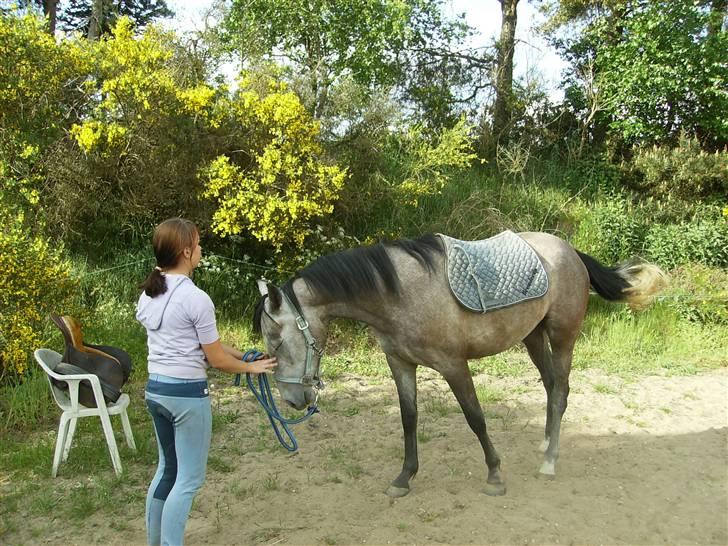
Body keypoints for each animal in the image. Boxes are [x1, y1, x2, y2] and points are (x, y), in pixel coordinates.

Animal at [253, 230, 668, 492]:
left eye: (276, 340)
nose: (293, 400)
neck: (398, 293)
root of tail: (570, 252)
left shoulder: (454, 365)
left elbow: (475, 417)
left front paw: (495, 475)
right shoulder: (400, 364)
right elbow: (408, 419)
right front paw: (404, 477)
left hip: (563, 336)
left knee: (563, 390)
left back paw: (550, 460)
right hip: (532, 336)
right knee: (551, 387)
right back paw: (547, 441)